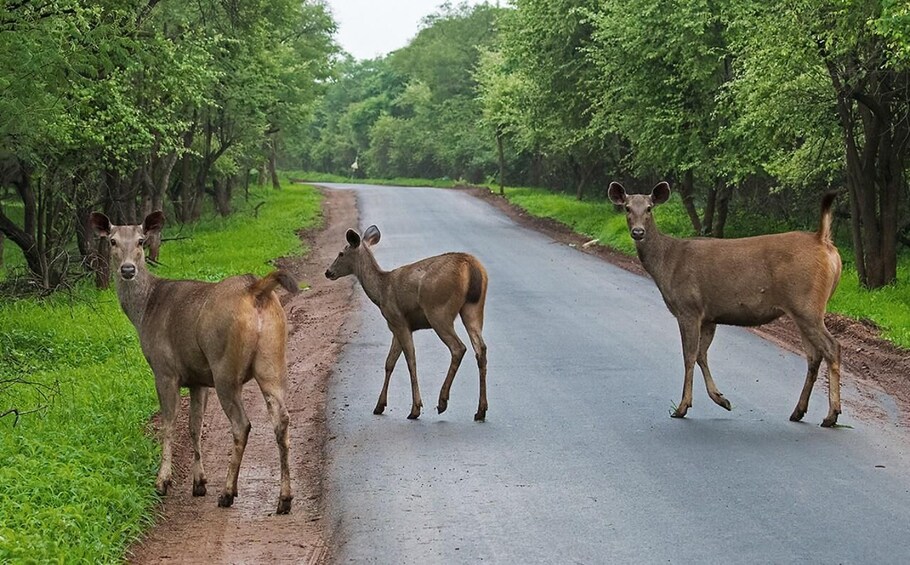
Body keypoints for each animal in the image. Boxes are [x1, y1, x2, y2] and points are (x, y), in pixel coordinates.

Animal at [89, 209, 298, 512]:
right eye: (113, 241)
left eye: (141, 241)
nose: (127, 270)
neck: (144, 310)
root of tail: (256, 289)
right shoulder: (198, 378)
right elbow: (194, 427)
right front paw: (199, 482)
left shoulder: (165, 370)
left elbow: (169, 423)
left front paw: (163, 481)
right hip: (273, 359)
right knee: (281, 419)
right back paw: (284, 498)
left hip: (224, 366)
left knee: (242, 424)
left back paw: (228, 492)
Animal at [324, 224, 488, 418]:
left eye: (341, 253)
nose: (328, 272)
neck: (380, 292)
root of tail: (471, 266)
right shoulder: (398, 327)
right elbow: (389, 363)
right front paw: (379, 405)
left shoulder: (398, 320)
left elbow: (410, 361)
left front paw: (415, 408)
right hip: (473, 308)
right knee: (481, 349)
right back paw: (481, 410)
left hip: (438, 310)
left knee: (458, 347)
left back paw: (442, 402)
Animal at [608, 183, 844, 426]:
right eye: (627, 207)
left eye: (649, 208)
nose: (638, 232)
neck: (667, 263)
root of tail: (823, 241)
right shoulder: (709, 316)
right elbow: (701, 355)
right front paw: (722, 399)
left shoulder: (688, 307)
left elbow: (689, 355)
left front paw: (682, 407)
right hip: (804, 309)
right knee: (814, 356)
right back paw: (798, 411)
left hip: (805, 303)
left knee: (832, 347)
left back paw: (831, 414)